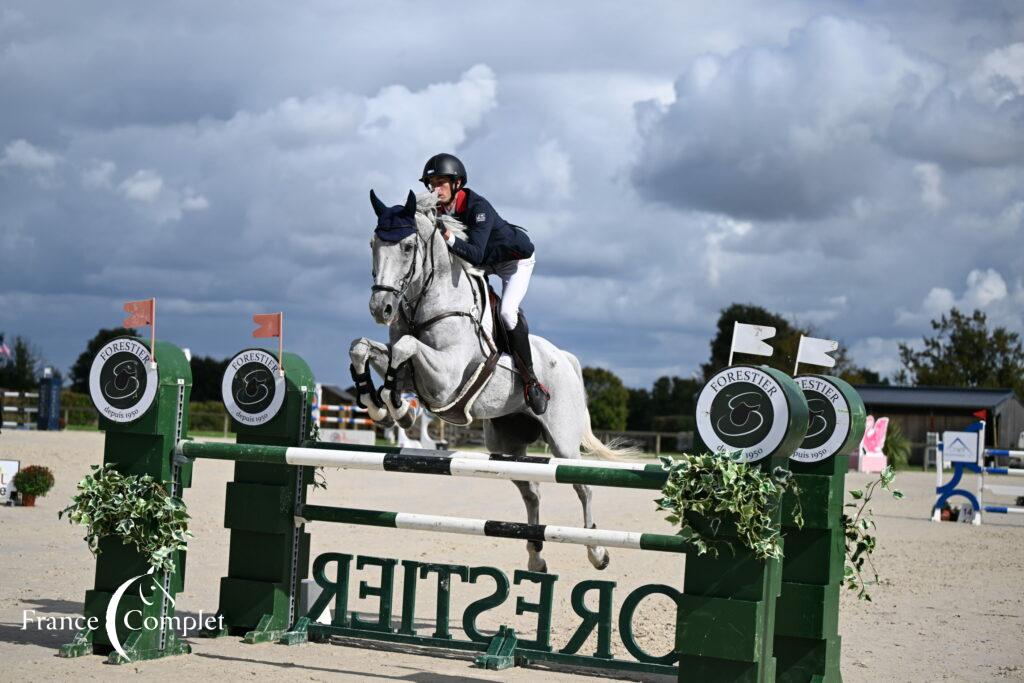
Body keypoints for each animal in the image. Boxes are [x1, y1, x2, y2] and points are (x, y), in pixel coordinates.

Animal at [352, 188, 630, 573]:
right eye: (373, 243)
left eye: (408, 247)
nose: (381, 309)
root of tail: (566, 360)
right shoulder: (411, 370)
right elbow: (365, 348)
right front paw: (380, 403)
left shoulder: (445, 380)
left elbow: (406, 347)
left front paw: (397, 409)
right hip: (506, 447)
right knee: (532, 492)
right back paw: (535, 558)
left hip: (563, 442)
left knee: (583, 487)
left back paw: (597, 552)